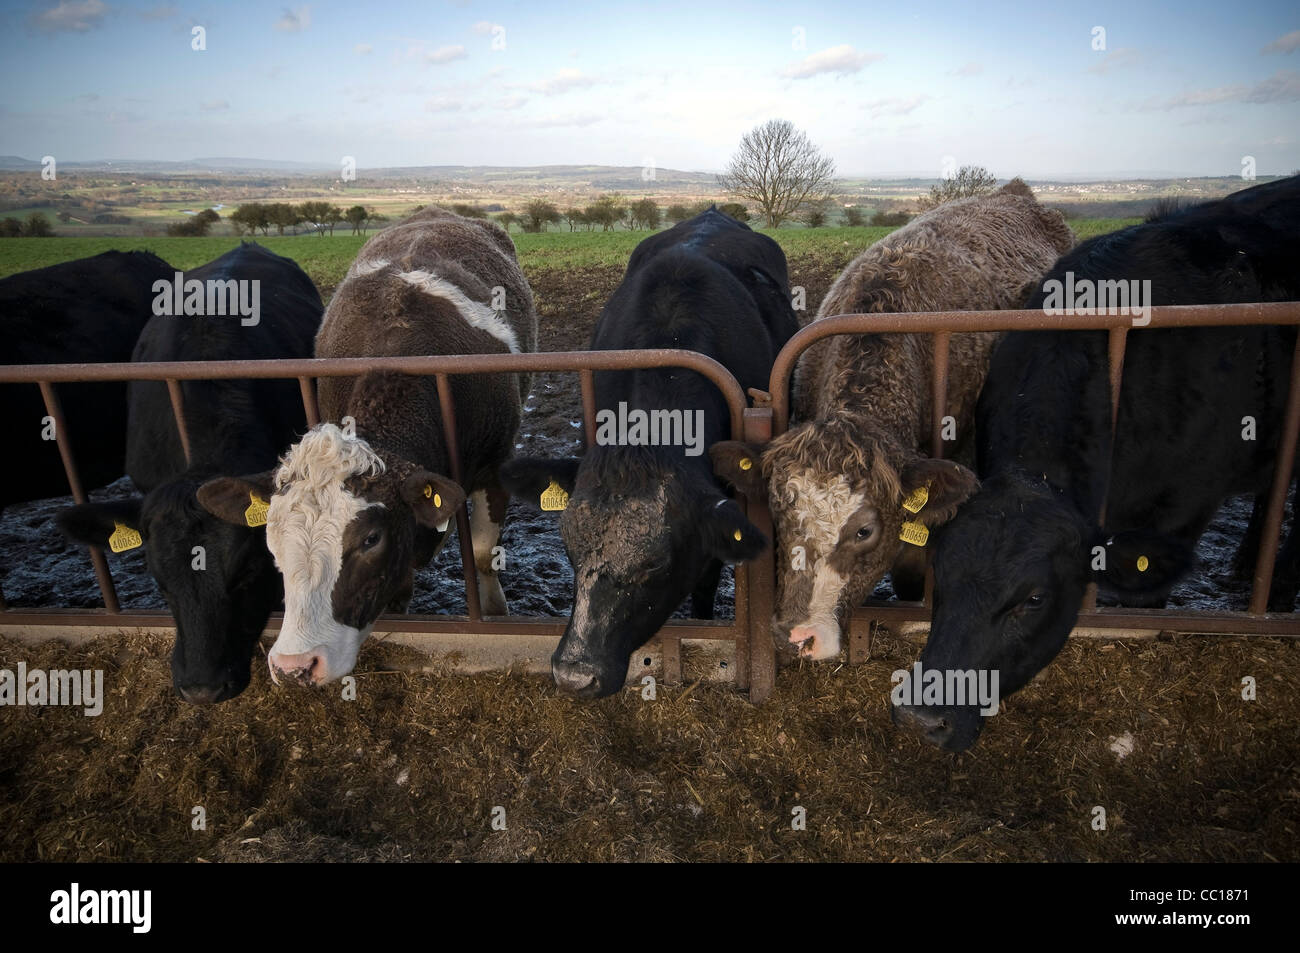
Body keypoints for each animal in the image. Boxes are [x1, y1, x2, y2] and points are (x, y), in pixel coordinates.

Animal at [197, 207, 538, 686]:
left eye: (371, 539)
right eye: (272, 540)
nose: (295, 666)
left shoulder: (495, 464)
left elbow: (483, 552)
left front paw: (495, 613)